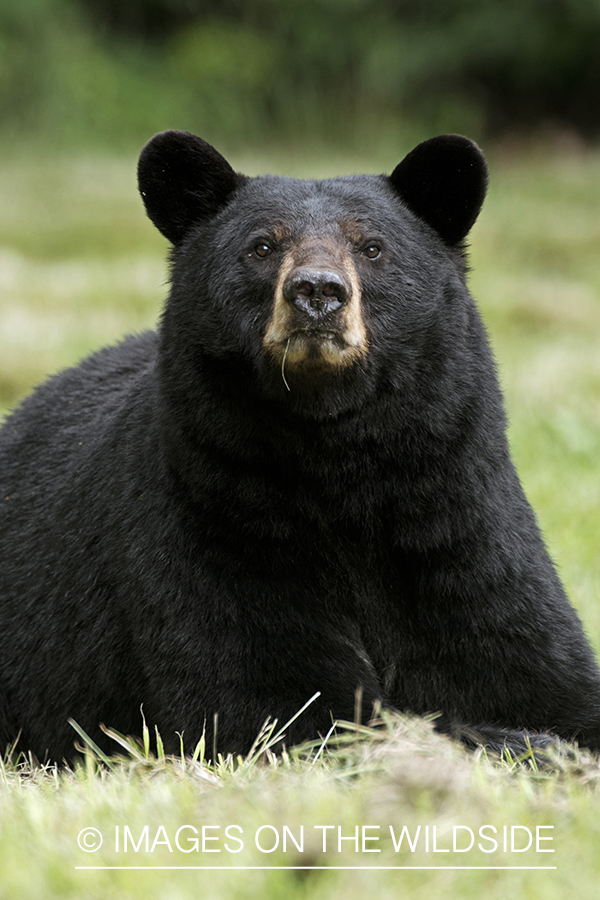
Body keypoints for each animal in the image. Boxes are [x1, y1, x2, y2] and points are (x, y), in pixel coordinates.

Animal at [1, 130, 600, 764]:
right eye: (262, 246)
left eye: (372, 247)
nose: (317, 291)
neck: (336, 460)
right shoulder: (219, 535)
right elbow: (274, 704)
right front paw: (525, 742)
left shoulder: (459, 532)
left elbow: (532, 664)